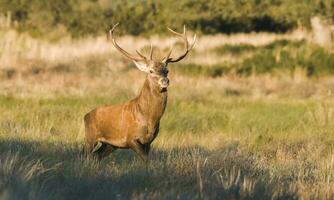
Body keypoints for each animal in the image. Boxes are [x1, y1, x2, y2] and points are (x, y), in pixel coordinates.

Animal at [83, 23, 197, 161]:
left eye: (167, 70)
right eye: (151, 71)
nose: (165, 81)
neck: (148, 118)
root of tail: (86, 116)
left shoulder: (148, 142)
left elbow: (145, 161)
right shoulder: (130, 138)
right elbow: (145, 159)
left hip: (110, 145)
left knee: (96, 156)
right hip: (90, 137)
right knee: (85, 156)